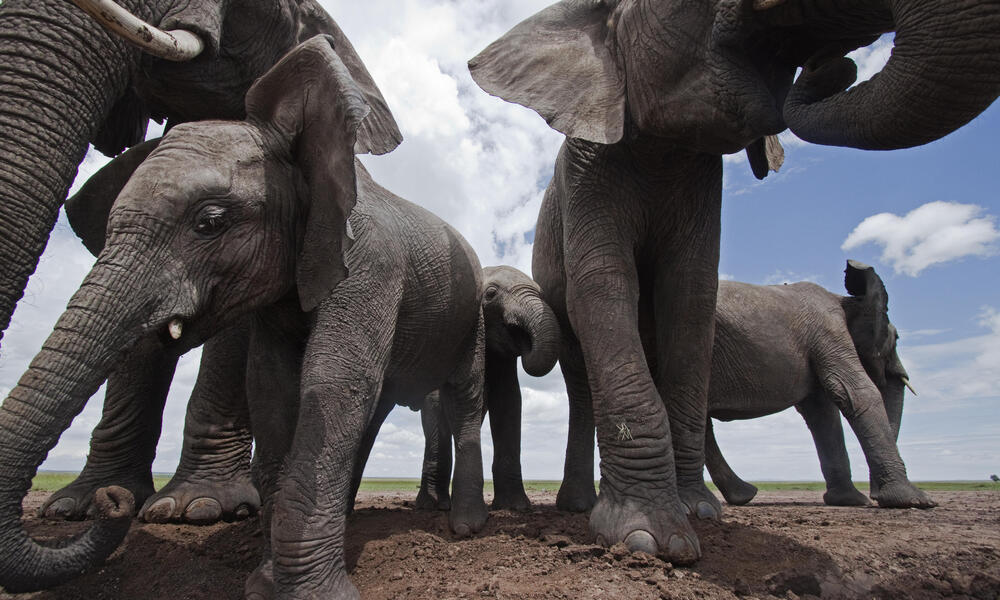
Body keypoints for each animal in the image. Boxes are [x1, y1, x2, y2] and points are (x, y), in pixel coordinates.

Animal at [410, 264, 560, 512]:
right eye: (490, 293)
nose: (527, 344)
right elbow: (437, 405)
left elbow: (509, 402)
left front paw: (515, 507)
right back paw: (433, 505)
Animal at [708, 262, 924, 506]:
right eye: (896, 339)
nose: (875, 496)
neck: (847, 299)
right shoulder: (829, 333)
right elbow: (857, 391)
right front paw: (915, 501)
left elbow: (822, 411)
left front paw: (848, 500)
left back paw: (742, 495)